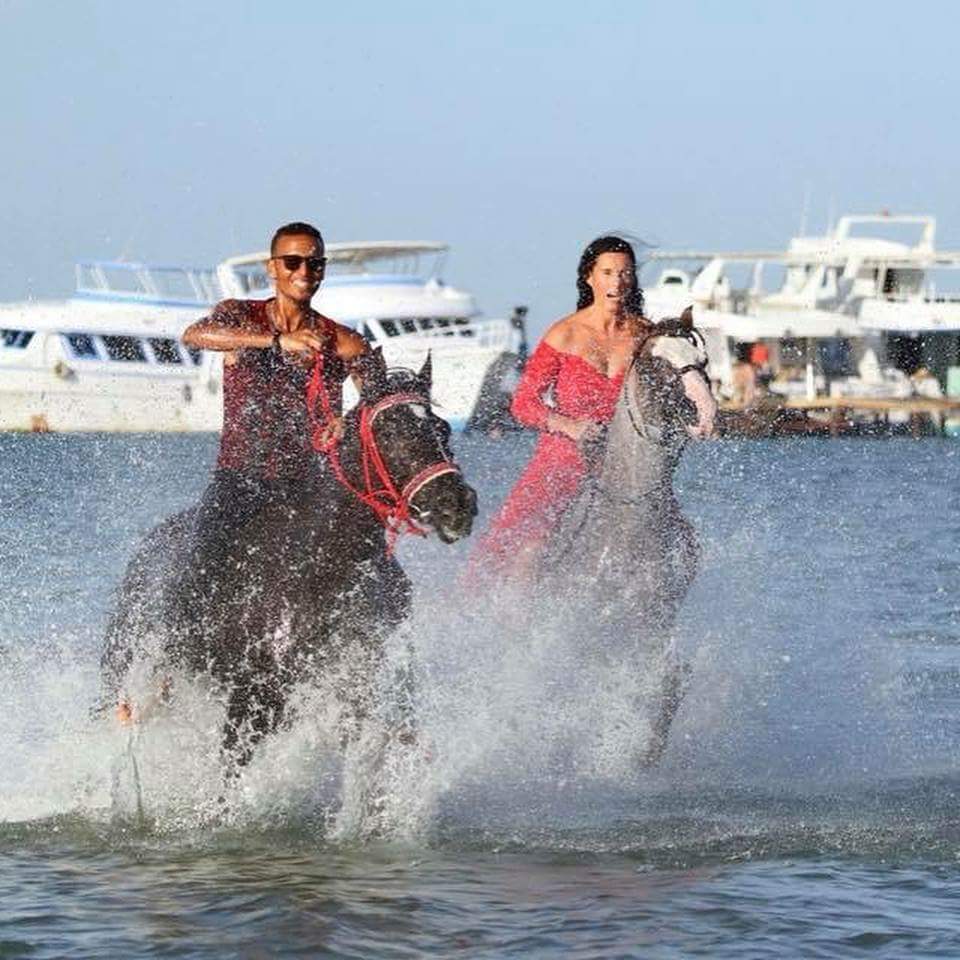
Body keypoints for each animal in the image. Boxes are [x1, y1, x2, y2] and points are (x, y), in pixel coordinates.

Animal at [536, 312, 716, 763]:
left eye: (702, 358)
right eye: (655, 365)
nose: (707, 414)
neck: (629, 522)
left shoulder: (657, 615)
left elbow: (668, 680)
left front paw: (645, 752)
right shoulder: (593, 625)